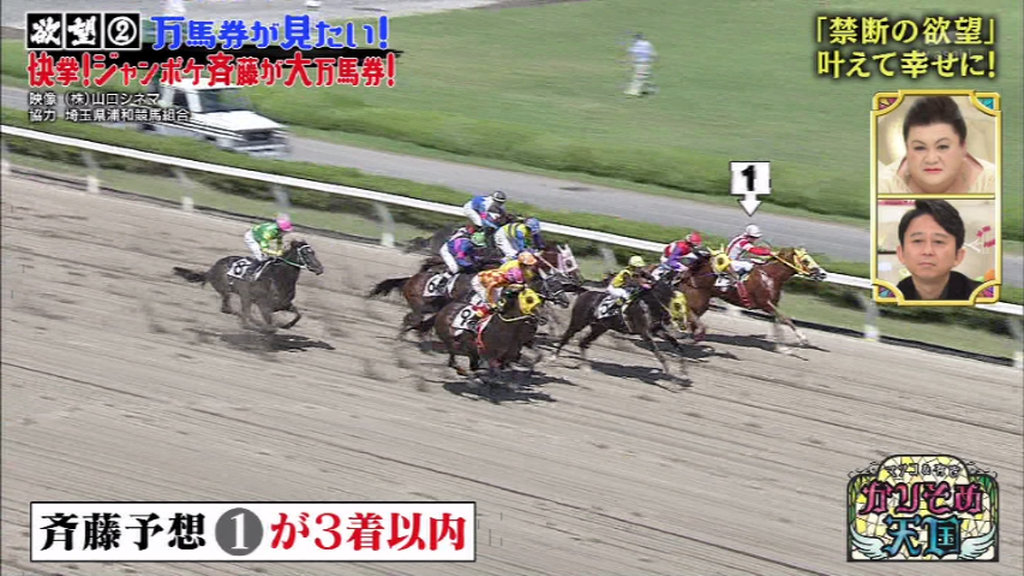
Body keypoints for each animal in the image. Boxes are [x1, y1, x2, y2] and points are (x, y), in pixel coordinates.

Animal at [173, 239, 325, 332]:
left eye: (313, 252)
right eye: (305, 253)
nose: (320, 268)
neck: (278, 278)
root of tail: (211, 269)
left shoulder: (283, 304)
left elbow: (298, 315)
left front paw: (287, 325)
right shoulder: (264, 304)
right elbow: (270, 325)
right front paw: (266, 327)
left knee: (236, 311)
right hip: (230, 292)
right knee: (229, 309)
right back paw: (250, 323)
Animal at [554, 274, 686, 374]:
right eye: (678, 304)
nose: (671, 318)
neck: (649, 304)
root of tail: (585, 293)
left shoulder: (657, 330)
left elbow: (676, 344)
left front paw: (683, 371)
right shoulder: (645, 333)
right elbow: (658, 353)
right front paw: (669, 373)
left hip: (599, 328)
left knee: (583, 342)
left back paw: (585, 366)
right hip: (578, 322)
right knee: (566, 336)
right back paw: (554, 357)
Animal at [679, 247, 827, 350]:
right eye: (806, 260)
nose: (823, 274)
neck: (770, 276)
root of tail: (687, 275)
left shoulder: (772, 305)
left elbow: (777, 323)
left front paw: (782, 348)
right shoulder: (765, 304)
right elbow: (786, 319)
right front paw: (803, 339)